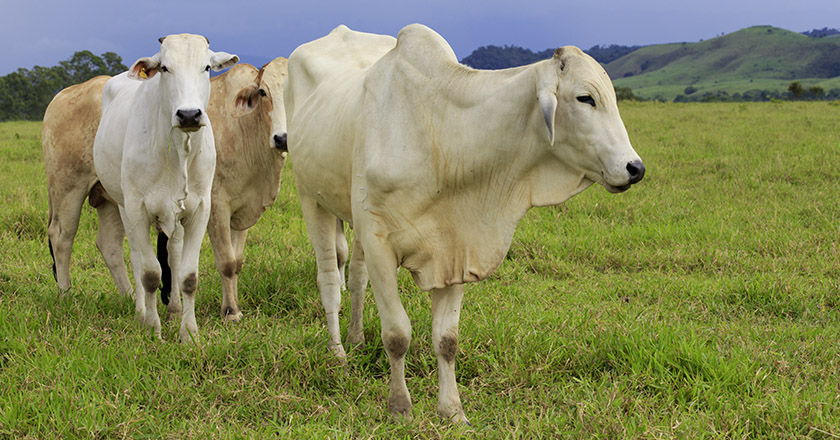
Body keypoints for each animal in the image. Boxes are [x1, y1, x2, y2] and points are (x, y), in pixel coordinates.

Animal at [43, 57, 292, 324]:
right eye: (263, 92)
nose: (282, 138)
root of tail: (63, 95)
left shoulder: (242, 209)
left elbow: (235, 261)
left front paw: (227, 307)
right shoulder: (215, 206)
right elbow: (225, 261)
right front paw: (230, 312)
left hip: (114, 199)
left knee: (110, 246)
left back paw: (131, 299)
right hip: (68, 188)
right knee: (62, 237)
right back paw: (66, 297)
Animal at [93, 35, 238, 344]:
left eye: (207, 67)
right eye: (164, 68)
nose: (189, 114)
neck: (178, 151)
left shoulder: (199, 211)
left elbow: (188, 276)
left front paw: (189, 333)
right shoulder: (137, 209)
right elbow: (149, 274)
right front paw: (152, 328)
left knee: (173, 254)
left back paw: (173, 310)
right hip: (123, 207)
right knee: (136, 258)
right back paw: (141, 312)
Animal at [286, 24, 648, 422]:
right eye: (586, 98)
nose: (635, 167)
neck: (442, 134)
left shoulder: (457, 248)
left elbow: (447, 340)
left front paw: (453, 411)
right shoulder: (380, 241)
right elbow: (397, 334)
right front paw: (400, 408)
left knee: (356, 277)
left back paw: (355, 338)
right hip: (310, 197)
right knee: (329, 278)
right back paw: (338, 352)